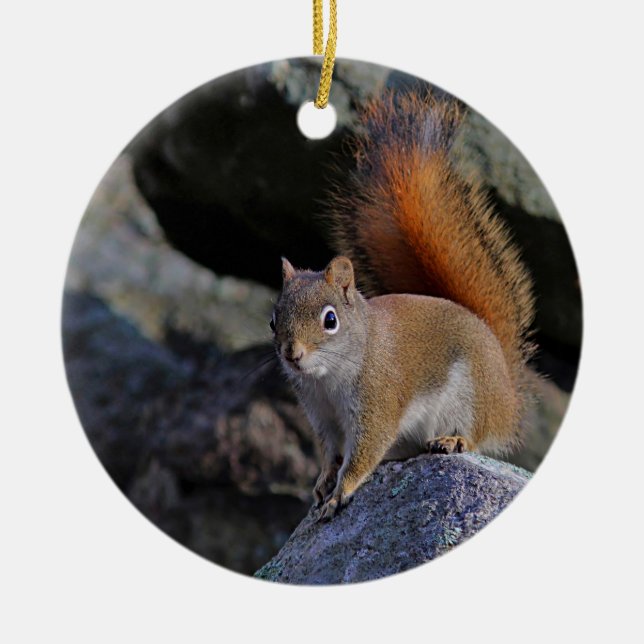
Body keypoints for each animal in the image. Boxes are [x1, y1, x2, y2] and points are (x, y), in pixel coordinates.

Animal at [271, 91, 536, 520]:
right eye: (272, 320)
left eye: (330, 320)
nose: (292, 354)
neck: (327, 379)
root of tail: (508, 394)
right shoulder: (323, 419)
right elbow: (330, 455)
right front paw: (324, 482)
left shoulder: (377, 404)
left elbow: (363, 453)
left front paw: (341, 492)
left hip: (472, 397)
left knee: (479, 435)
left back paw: (453, 441)